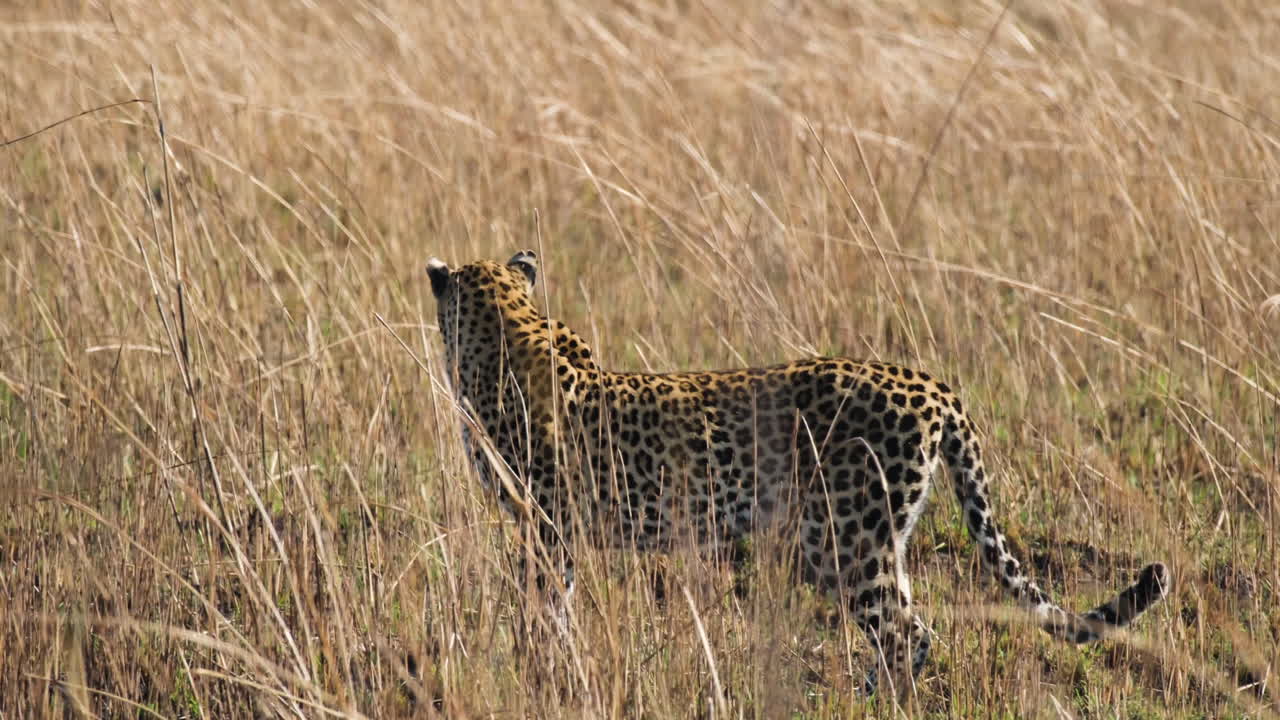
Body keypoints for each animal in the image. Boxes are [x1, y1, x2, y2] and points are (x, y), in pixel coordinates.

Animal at [426, 250, 1170, 695]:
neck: (509, 326)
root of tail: (933, 385)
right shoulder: (558, 530)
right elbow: (557, 608)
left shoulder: (546, 525)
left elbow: (541, 607)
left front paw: (532, 666)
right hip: (881, 534)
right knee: (912, 625)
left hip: (843, 538)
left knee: (907, 632)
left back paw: (867, 701)